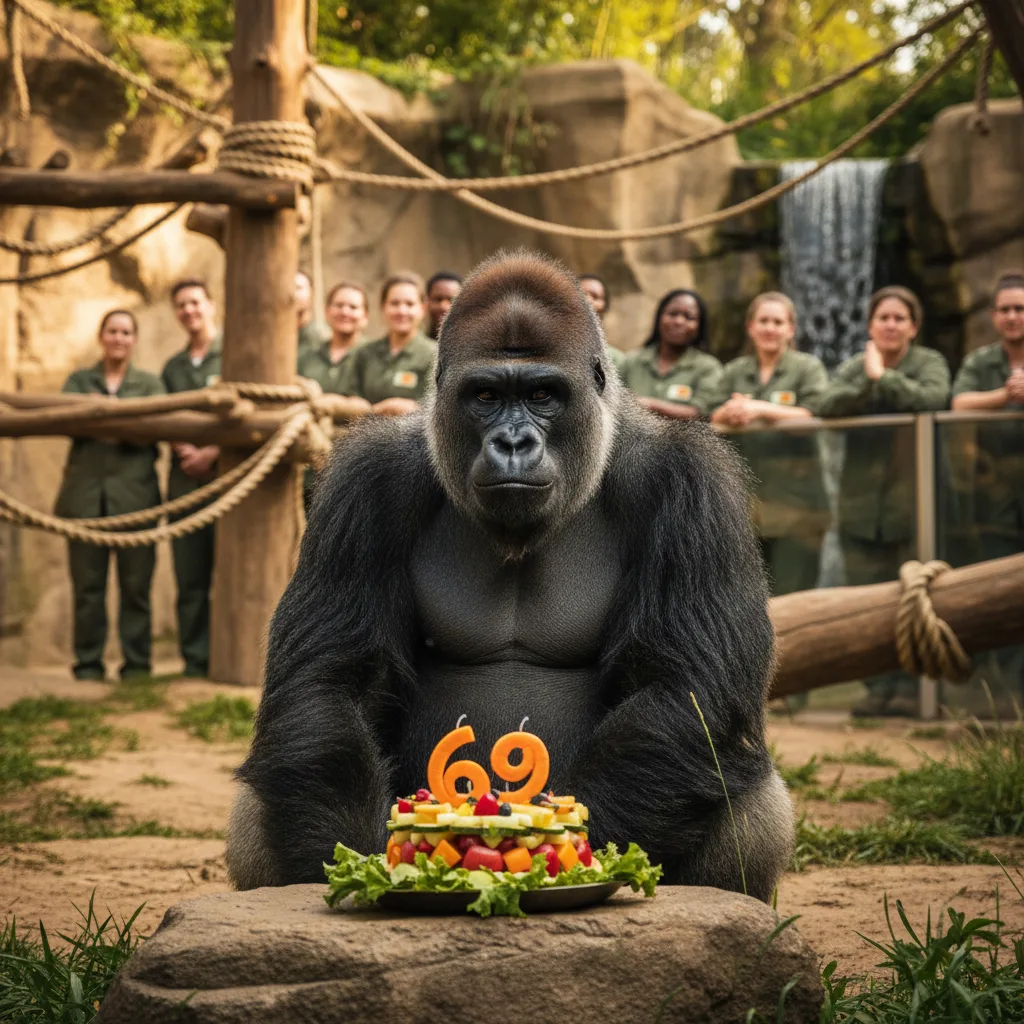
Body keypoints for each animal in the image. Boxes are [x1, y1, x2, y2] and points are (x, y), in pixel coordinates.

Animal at [227, 249, 793, 902]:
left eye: (544, 394)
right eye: (487, 395)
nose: (514, 442)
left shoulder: (693, 485)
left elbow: (686, 684)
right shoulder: (362, 483)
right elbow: (330, 679)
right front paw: (347, 860)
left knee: (753, 800)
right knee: (263, 797)